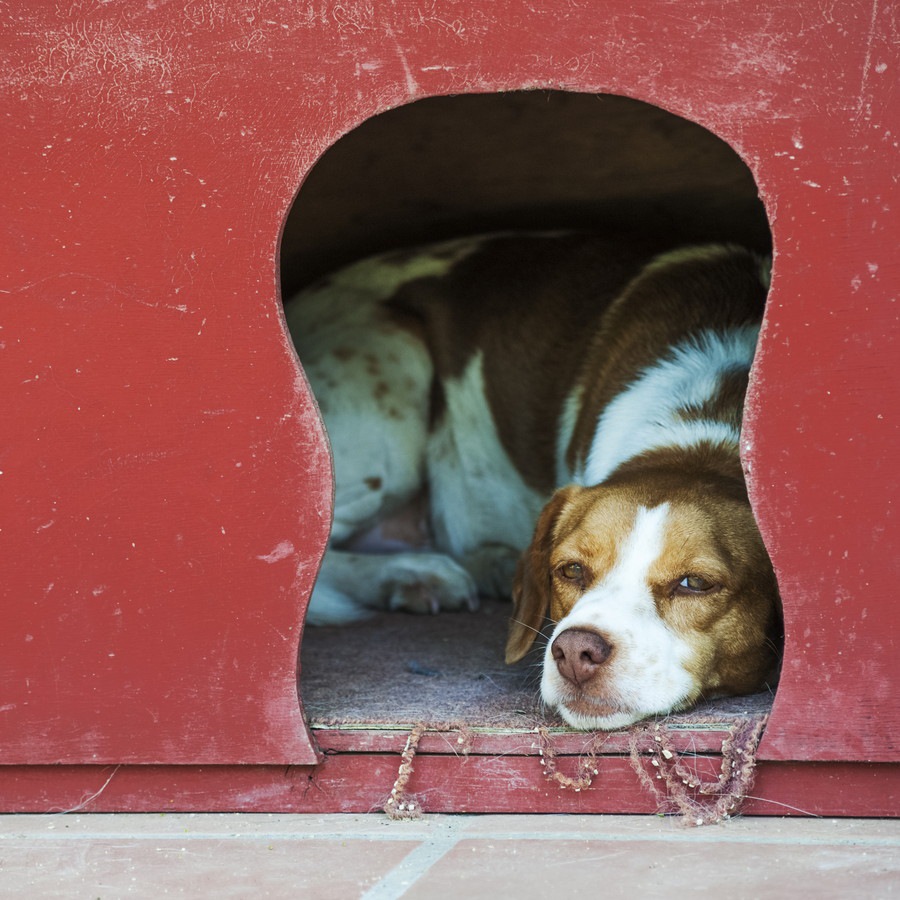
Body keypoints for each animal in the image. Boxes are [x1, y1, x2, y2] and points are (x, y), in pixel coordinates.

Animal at [286, 234, 780, 732]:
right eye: (571, 570)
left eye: (695, 584)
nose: (576, 650)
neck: (699, 429)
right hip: (392, 381)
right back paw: (412, 573)